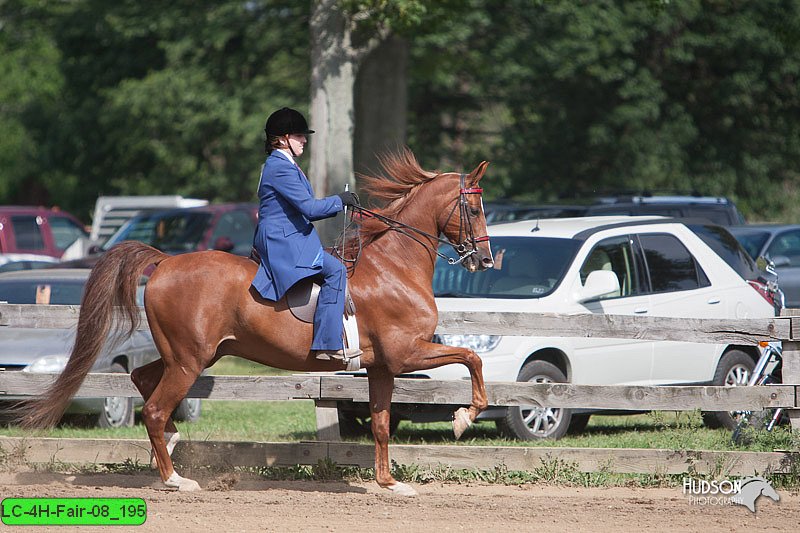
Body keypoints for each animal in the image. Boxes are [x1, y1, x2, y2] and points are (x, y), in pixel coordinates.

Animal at [17, 149, 494, 494]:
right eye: (473, 209)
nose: (486, 260)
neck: (395, 267)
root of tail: (166, 261)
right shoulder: (405, 354)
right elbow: (471, 359)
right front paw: (463, 417)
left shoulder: (381, 367)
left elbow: (379, 424)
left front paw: (389, 483)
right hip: (189, 360)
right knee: (152, 408)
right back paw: (175, 480)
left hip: (190, 356)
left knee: (142, 380)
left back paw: (169, 445)